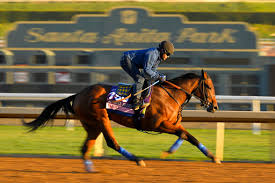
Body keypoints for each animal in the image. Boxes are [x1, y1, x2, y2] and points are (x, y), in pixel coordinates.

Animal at [24, 69, 222, 172]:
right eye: (209, 86)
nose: (215, 107)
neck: (170, 95)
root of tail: (78, 94)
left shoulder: (172, 124)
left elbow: (187, 135)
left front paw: (212, 157)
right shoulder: (158, 124)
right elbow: (185, 134)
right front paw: (169, 152)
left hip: (92, 125)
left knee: (86, 147)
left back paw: (89, 168)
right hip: (101, 118)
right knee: (112, 142)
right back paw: (137, 160)